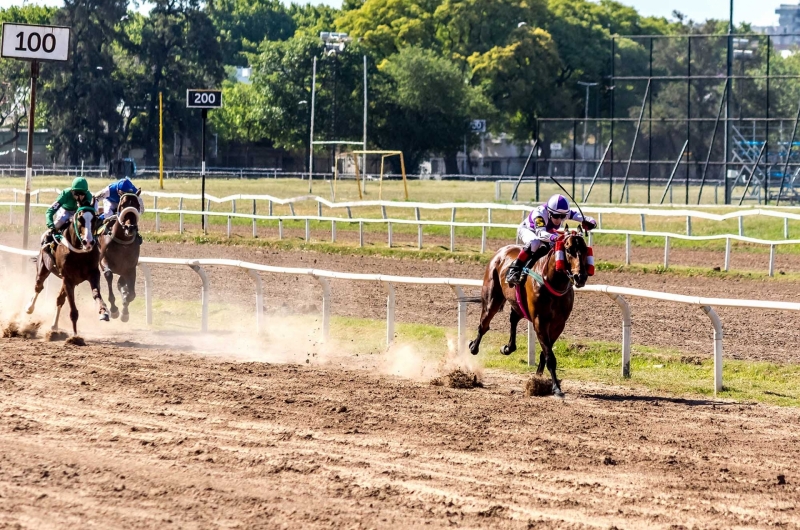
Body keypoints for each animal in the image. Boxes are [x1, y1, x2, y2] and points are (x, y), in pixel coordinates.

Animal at [26, 205, 110, 334]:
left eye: (94, 220)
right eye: (80, 219)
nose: (88, 242)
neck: (79, 254)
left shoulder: (93, 274)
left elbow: (96, 293)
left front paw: (104, 312)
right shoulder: (68, 278)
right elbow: (73, 308)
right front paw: (75, 335)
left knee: (59, 299)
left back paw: (54, 325)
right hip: (43, 268)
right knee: (38, 286)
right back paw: (29, 308)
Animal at [98, 191, 142, 322]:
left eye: (137, 205)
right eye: (122, 205)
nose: (130, 227)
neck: (123, 242)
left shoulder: (130, 268)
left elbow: (131, 294)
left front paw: (125, 311)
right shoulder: (103, 260)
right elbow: (108, 274)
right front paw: (114, 309)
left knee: (120, 284)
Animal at [466, 228, 592, 396]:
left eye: (584, 250)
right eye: (569, 250)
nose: (580, 277)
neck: (552, 281)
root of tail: (501, 251)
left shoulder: (559, 324)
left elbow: (545, 353)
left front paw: (538, 379)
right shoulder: (540, 321)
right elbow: (549, 356)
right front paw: (556, 388)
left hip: (517, 303)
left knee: (513, 319)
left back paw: (508, 347)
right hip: (491, 299)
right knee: (484, 325)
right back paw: (473, 347)